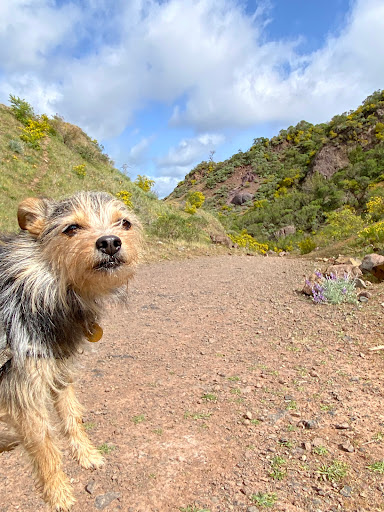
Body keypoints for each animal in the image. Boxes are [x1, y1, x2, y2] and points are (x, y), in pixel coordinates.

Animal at [0, 191, 141, 508]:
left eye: (124, 223)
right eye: (72, 228)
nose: (110, 242)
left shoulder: (59, 370)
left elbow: (71, 415)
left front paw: (86, 454)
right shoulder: (22, 387)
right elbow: (43, 443)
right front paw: (58, 491)